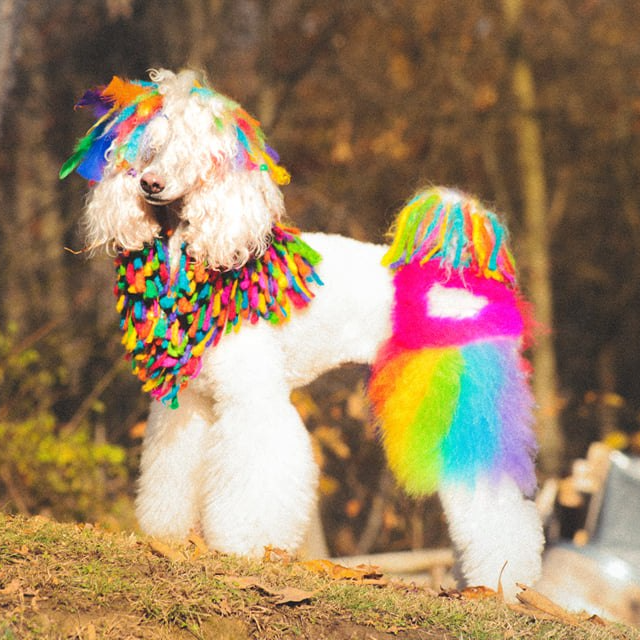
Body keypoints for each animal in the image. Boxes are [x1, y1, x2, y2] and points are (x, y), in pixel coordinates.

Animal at [60, 70, 544, 600]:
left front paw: (246, 543)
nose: (149, 184)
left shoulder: (253, 398)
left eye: (193, 153)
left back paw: (508, 583)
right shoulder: (192, 403)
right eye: (152, 147)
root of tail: (468, 277)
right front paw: (172, 534)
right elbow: (174, 472)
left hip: (463, 404)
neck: (211, 262)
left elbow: (257, 474)